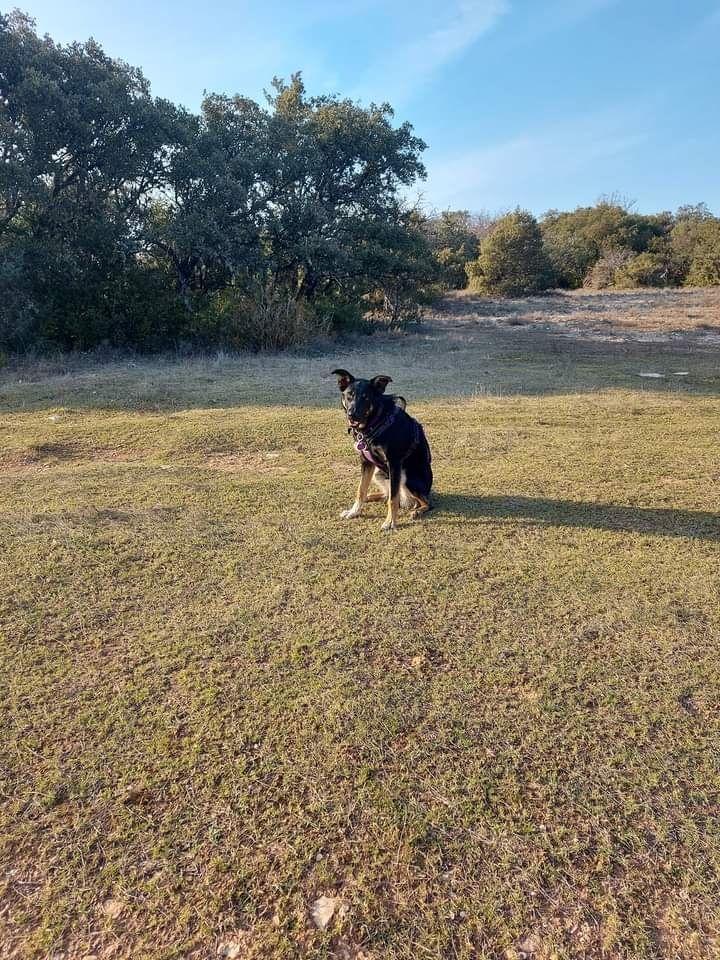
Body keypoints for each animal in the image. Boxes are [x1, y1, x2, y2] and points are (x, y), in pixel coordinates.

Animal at [332, 370, 434, 532]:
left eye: (366, 397)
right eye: (349, 395)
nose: (351, 414)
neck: (376, 421)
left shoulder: (394, 464)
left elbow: (393, 499)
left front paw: (390, 523)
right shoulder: (366, 462)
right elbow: (361, 490)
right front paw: (353, 512)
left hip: (407, 477)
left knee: (425, 502)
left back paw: (417, 511)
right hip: (378, 473)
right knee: (386, 494)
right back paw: (371, 496)